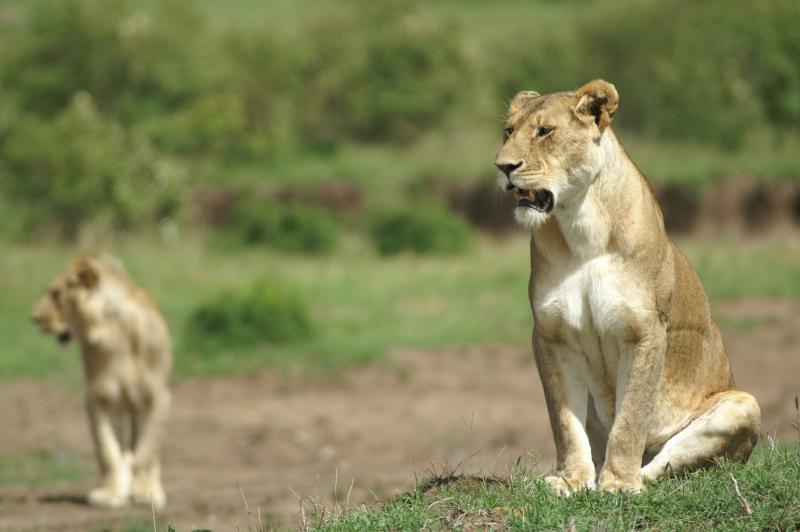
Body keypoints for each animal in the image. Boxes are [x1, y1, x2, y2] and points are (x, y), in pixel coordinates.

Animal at [32, 258, 172, 512]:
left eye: (56, 294)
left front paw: (145, 493)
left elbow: (147, 450)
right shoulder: (100, 398)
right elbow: (107, 450)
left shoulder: (157, 397)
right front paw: (111, 494)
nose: (34, 317)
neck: (113, 332)